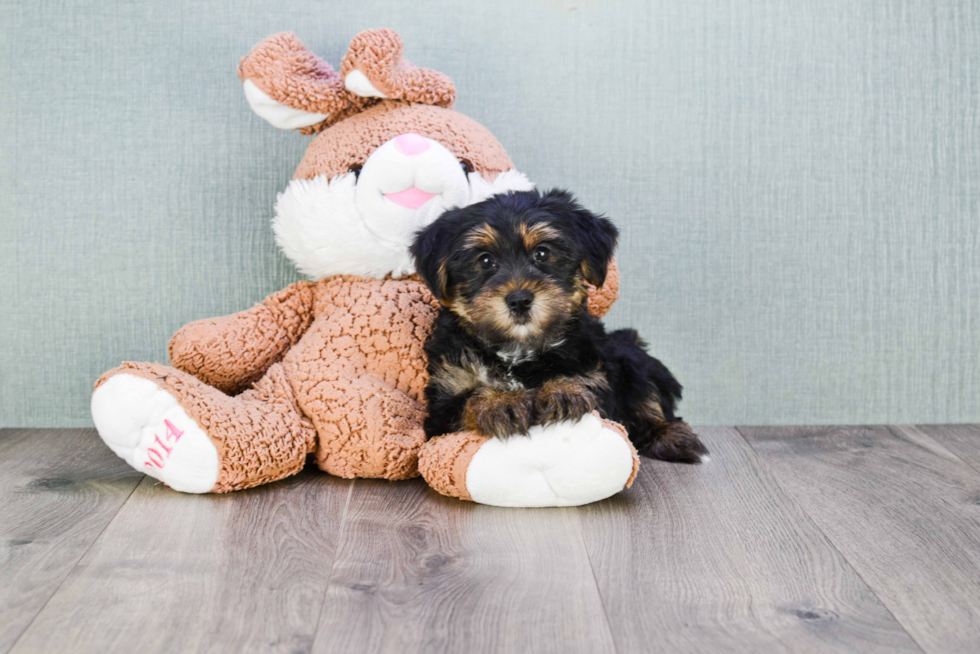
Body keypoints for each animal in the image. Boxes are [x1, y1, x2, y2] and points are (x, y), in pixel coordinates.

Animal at [410, 190, 708, 466]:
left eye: (542, 253)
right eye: (485, 261)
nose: (519, 300)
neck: (518, 349)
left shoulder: (595, 370)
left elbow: (587, 384)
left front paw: (563, 390)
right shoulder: (443, 402)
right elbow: (465, 402)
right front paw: (500, 402)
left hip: (630, 355)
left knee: (648, 395)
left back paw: (673, 436)